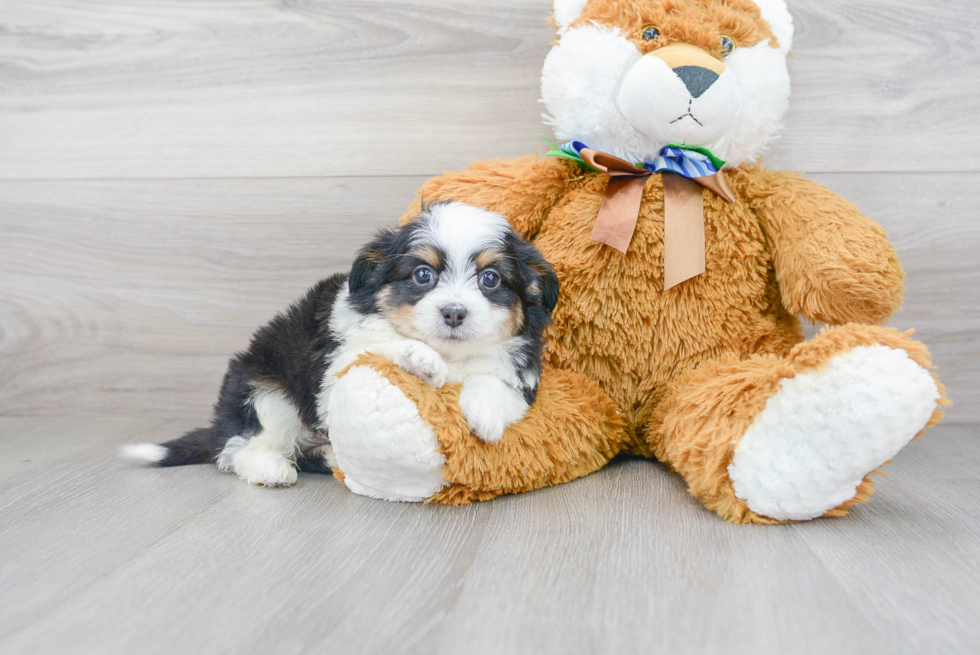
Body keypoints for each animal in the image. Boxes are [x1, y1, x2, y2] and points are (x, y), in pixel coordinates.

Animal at [120, 202, 560, 490]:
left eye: (491, 279)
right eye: (422, 274)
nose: (454, 312)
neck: (452, 353)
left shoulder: (523, 380)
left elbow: (494, 384)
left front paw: (483, 416)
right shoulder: (332, 367)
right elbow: (378, 347)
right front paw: (420, 359)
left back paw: (333, 457)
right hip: (262, 388)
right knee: (238, 447)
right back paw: (271, 468)